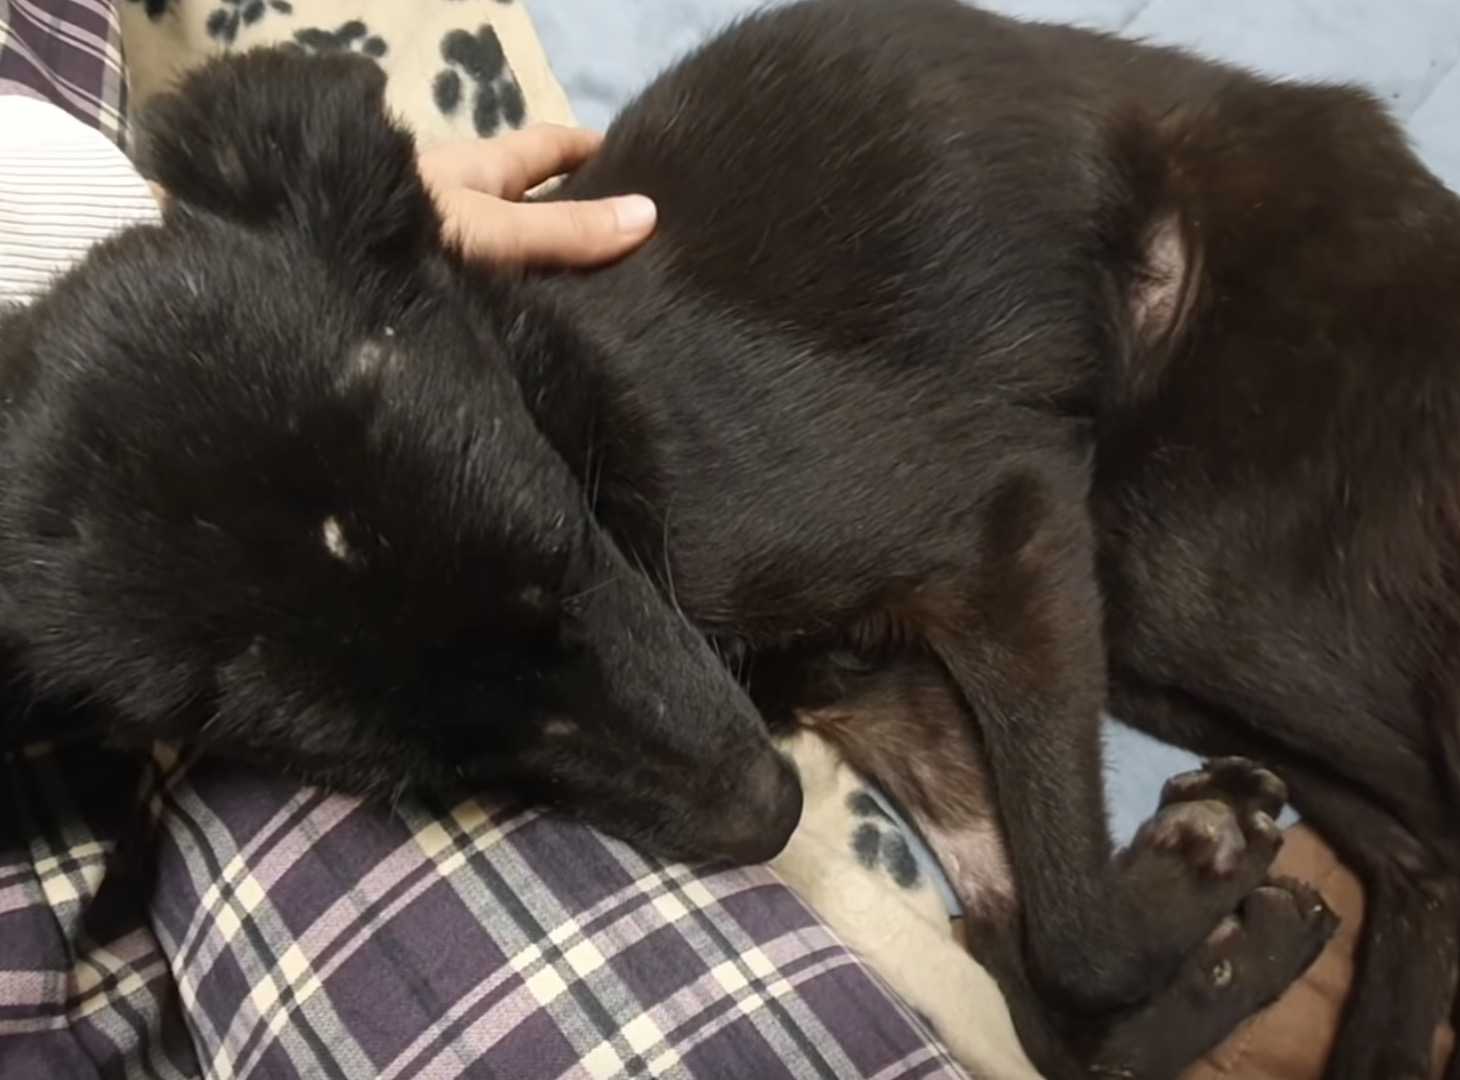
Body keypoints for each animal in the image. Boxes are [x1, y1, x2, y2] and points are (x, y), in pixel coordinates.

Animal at [0, 2, 1454, 1080]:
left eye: (567, 547)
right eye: (439, 761)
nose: (771, 813)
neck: (573, 398)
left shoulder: (1004, 517)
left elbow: (1068, 938)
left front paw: (1199, 883)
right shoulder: (905, 672)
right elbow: (1030, 965)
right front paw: (1217, 917)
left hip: (1182, 557)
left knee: (1431, 811)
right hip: (1150, 623)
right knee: (1402, 828)